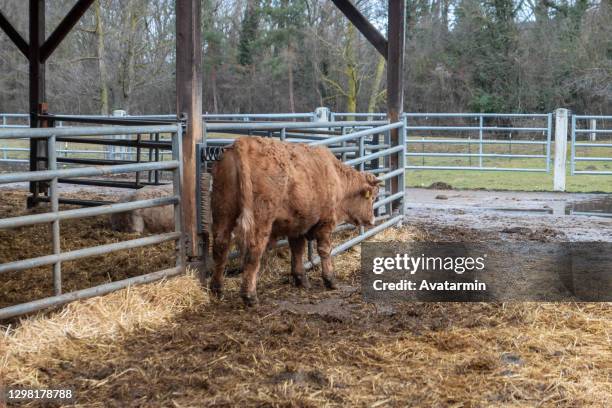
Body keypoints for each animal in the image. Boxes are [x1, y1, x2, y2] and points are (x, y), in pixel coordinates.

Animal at [213, 137, 380, 306]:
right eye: (372, 198)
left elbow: (297, 250)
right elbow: (325, 251)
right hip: (260, 219)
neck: (335, 176)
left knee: (221, 245)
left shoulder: (297, 225)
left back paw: (217, 289)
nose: (372, 220)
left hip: (223, 211)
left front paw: (301, 279)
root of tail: (243, 142)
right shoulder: (325, 223)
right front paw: (330, 280)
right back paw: (250, 296)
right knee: (253, 252)